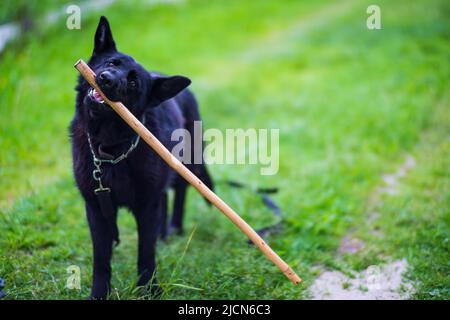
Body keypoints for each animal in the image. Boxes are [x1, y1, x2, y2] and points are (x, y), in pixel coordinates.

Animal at [70, 16, 213, 298]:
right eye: (111, 63)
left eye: (134, 83)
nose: (106, 79)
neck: (110, 148)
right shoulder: (97, 208)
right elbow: (101, 259)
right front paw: (99, 293)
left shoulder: (146, 205)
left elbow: (146, 252)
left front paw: (148, 289)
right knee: (166, 197)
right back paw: (164, 234)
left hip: (187, 164)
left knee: (179, 192)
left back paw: (174, 228)